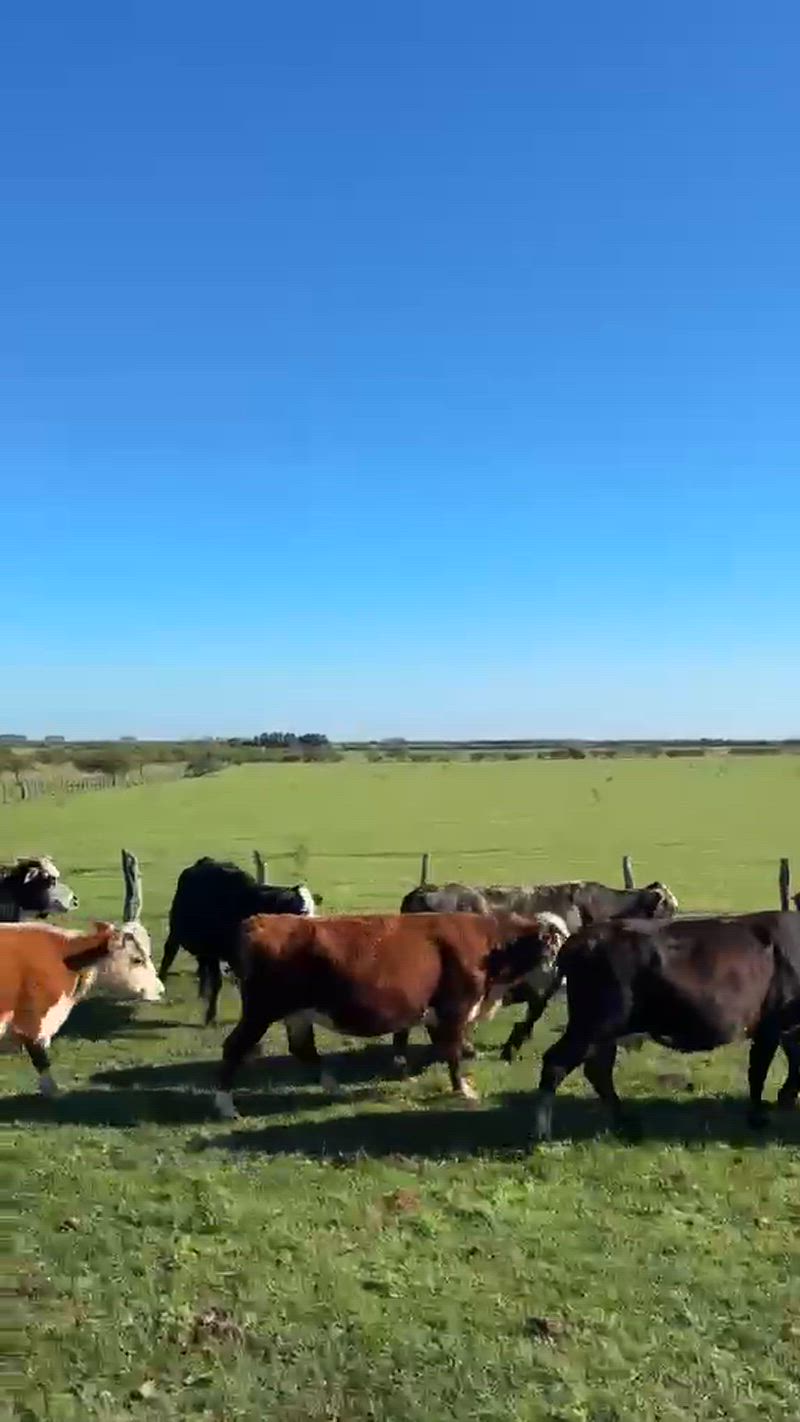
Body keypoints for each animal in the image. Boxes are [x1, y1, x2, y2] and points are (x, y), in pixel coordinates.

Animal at [158, 858, 320, 1025]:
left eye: (314, 909)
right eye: (301, 911)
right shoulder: (215, 953)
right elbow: (217, 983)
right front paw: (211, 1016)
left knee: (202, 967)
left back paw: (202, 992)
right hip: (176, 933)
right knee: (169, 955)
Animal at [211, 910, 570, 1120]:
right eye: (560, 945)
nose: (565, 979)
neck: (491, 945)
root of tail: (262, 920)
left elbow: (442, 1047)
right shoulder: (454, 1008)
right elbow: (453, 1052)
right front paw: (463, 1090)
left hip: (296, 1013)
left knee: (303, 1050)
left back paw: (334, 1087)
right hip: (261, 1011)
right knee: (234, 1047)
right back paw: (226, 1106)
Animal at [530, 911, 800, 1141]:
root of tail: (580, 938)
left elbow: (793, 1062)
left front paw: (785, 1100)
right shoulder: (771, 1025)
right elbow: (758, 1072)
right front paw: (758, 1118)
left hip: (603, 1029)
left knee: (598, 1070)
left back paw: (626, 1124)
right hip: (595, 1023)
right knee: (557, 1063)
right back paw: (543, 1133)